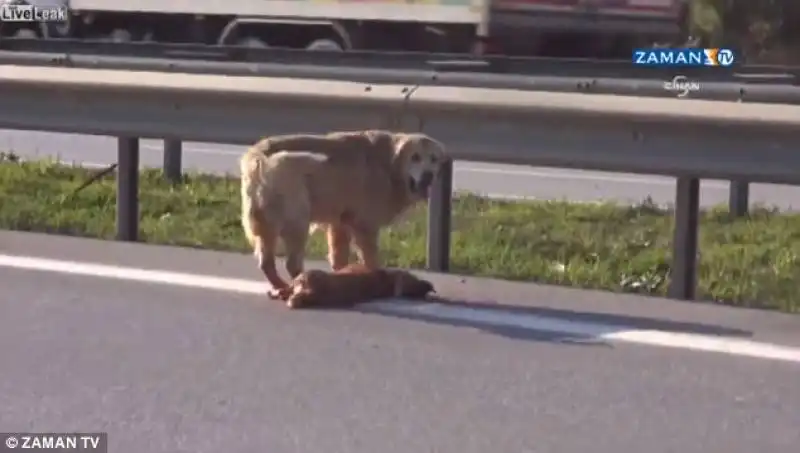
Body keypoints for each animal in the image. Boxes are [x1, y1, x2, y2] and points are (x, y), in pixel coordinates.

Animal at [238, 130, 450, 294]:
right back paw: (299, 284)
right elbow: (370, 258)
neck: (391, 166)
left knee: (266, 262)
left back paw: (282, 286)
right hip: (297, 217)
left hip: (266, 222)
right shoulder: (365, 225)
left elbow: (339, 255)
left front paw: (342, 276)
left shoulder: (340, 222)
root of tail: (258, 156)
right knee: (291, 262)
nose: (428, 176)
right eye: (415, 157)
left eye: (434, 159)